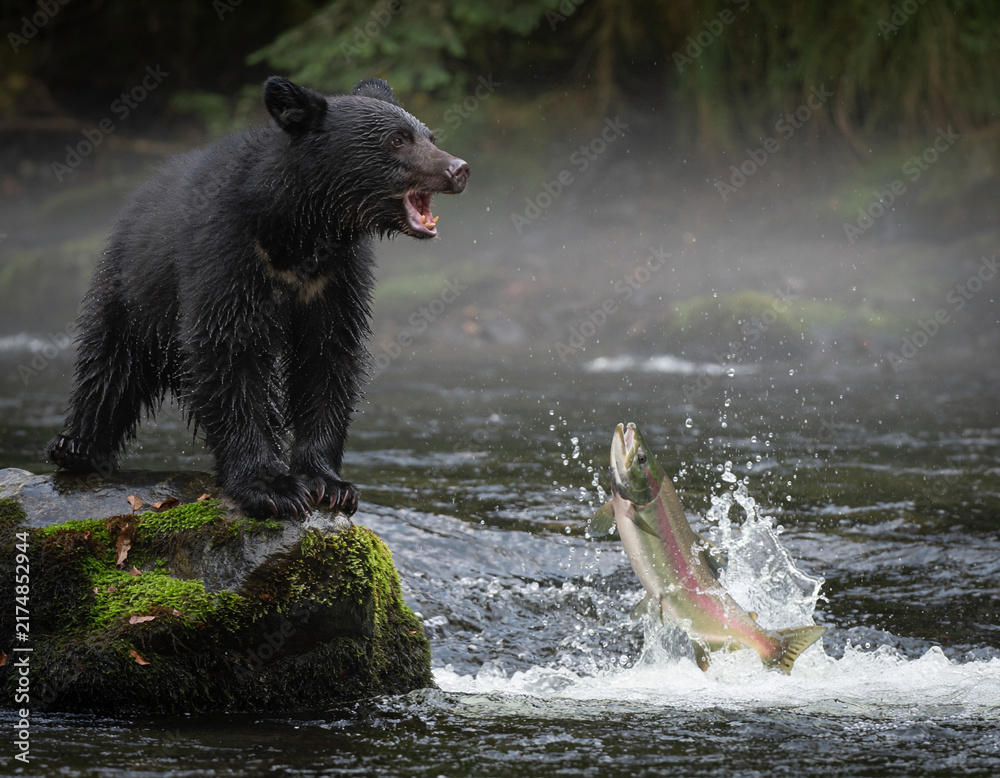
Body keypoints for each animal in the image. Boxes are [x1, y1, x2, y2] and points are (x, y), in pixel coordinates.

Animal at [46, 76, 470, 519]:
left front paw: (329, 483)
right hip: (133, 284)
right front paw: (270, 486)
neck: (299, 230)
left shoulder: (336, 276)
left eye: (430, 136)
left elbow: (328, 355)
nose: (458, 169)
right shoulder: (227, 253)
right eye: (397, 139)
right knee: (110, 359)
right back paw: (78, 447)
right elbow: (229, 352)